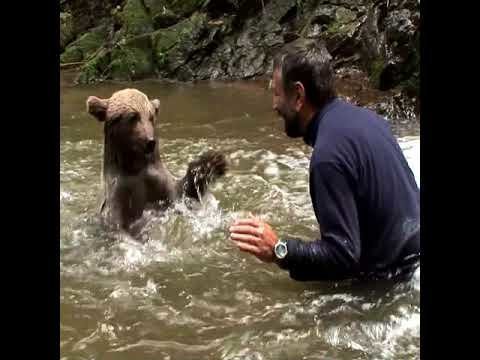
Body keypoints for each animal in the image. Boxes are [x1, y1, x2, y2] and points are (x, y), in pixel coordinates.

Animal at [85, 87, 228, 233]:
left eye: (151, 117)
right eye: (133, 117)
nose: (150, 141)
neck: (135, 167)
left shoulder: (160, 183)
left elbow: (184, 192)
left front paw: (213, 162)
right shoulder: (119, 194)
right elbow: (119, 223)